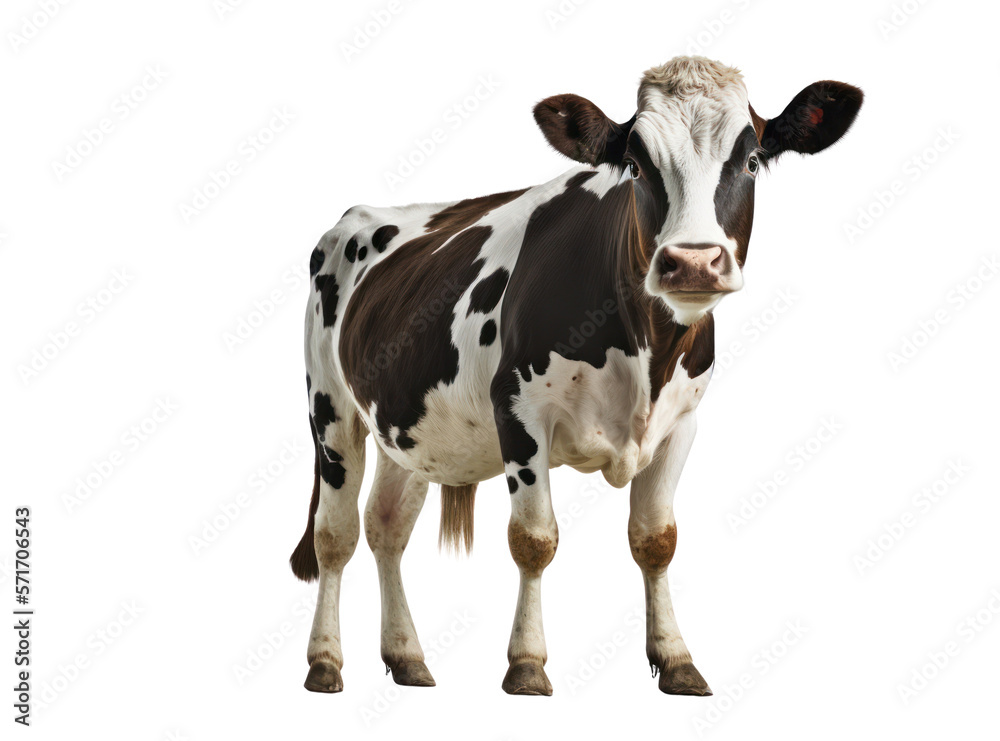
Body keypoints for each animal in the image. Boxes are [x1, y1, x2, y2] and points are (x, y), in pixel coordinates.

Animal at [290, 56, 862, 696]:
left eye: (754, 160)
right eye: (636, 165)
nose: (692, 262)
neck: (646, 358)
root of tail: (356, 217)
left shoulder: (683, 421)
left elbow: (656, 539)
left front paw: (676, 659)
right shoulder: (518, 411)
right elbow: (534, 540)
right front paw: (527, 663)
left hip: (406, 426)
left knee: (386, 527)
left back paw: (407, 657)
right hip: (331, 411)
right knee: (334, 535)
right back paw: (325, 662)